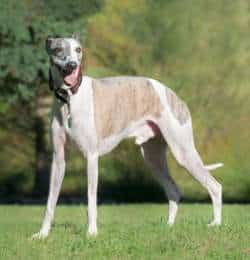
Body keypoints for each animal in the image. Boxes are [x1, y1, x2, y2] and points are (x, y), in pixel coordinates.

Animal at [31, 35, 223, 239]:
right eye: (58, 49)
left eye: (78, 50)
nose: (73, 65)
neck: (69, 99)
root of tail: (173, 94)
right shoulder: (58, 159)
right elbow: (50, 202)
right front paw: (42, 234)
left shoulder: (91, 156)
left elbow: (91, 199)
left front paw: (91, 232)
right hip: (153, 158)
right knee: (174, 190)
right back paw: (169, 226)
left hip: (183, 151)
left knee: (215, 186)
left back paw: (216, 224)